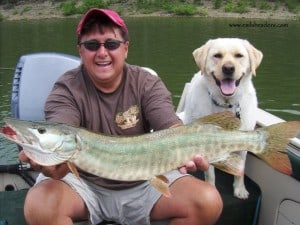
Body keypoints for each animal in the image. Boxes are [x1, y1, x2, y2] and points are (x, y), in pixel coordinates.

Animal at [180, 38, 262, 199]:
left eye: (239, 55)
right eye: (217, 55)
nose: (228, 68)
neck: (226, 104)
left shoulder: (244, 142)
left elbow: (241, 170)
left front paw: (240, 190)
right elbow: (210, 173)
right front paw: (211, 187)